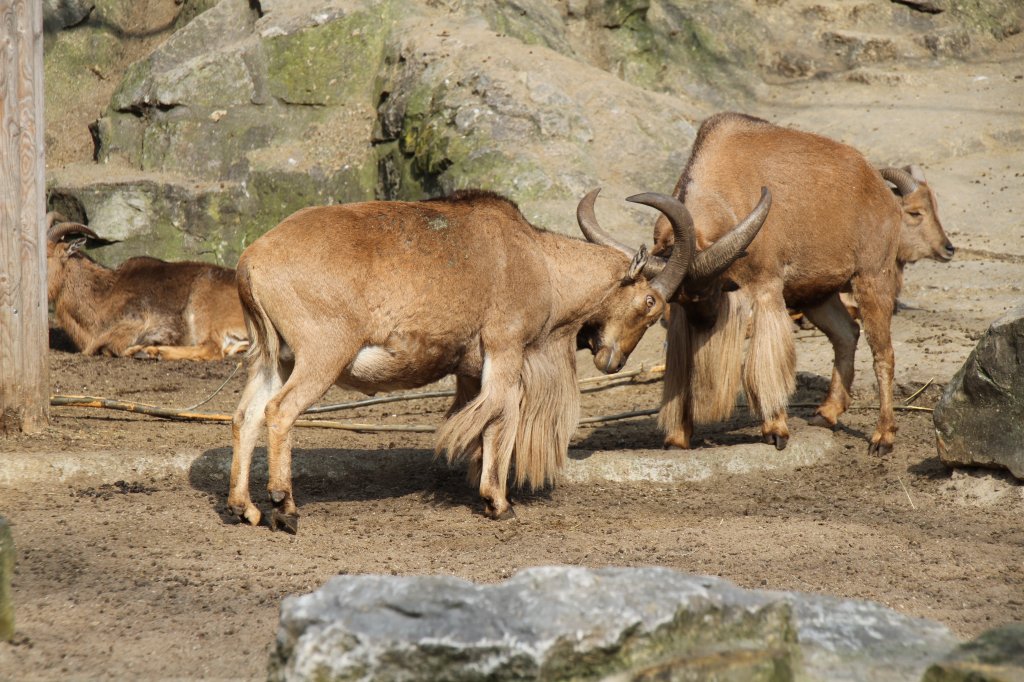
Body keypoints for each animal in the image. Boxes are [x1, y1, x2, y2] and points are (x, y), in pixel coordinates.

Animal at [46, 212, 249, 360]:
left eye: (46, 255)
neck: (103, 294)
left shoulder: (137, 324)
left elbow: (110, 347)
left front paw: (140, 349)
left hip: (202, 306)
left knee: (211, 349)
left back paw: (152, 351)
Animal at [230, 187, 774, 532]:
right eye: (650, 304)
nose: (612, 360)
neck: (541, 263)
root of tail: (251, 262)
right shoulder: (507, 350)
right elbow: (502, 419)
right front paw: (499, 502)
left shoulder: (472, 371)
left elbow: (481, 420)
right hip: (321, 354)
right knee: (280, 411)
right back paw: (284, 509)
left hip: (274, 357)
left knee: (246, 415)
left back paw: (244, 508)